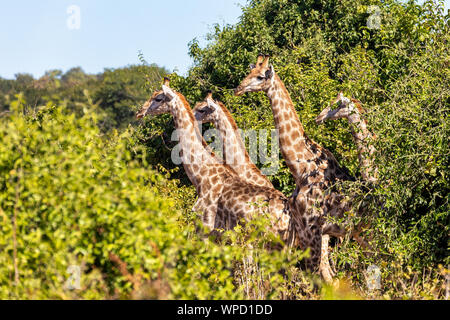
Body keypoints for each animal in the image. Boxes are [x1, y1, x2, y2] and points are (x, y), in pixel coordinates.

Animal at [135, 79, 318, 262]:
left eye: (158, 98)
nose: (139, 112)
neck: (201, 176)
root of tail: (290, 218)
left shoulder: (206, 229)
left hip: (272, 243)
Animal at [236, 55, 356, 282]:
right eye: (249, 72)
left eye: (260, 76)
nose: (238, 88)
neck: (302, 167)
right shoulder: (302, 228)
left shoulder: (313, 228)